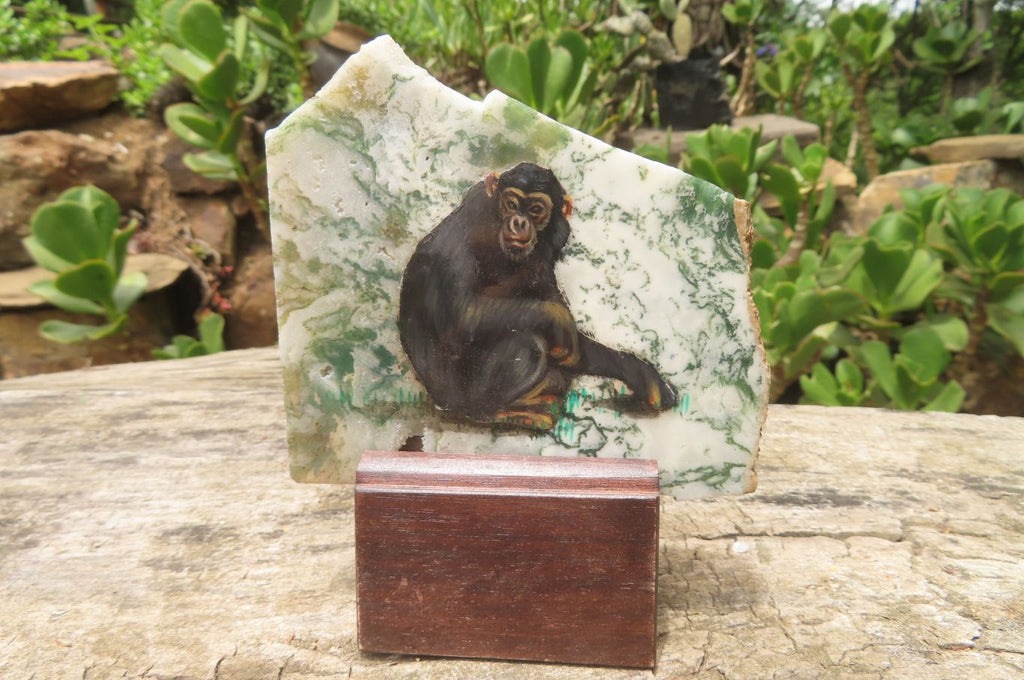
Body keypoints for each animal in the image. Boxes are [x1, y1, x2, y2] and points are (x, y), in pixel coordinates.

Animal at [398, 162, 676, 431]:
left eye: (535, 209)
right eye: (511, 204)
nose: (519, 222)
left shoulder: (552, 245)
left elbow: (574, 341)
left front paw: (641, 375)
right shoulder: (469, 224)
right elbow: (461, 317)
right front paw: (558, 319)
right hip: (458, 395)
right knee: (527, 345)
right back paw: (499, 412)